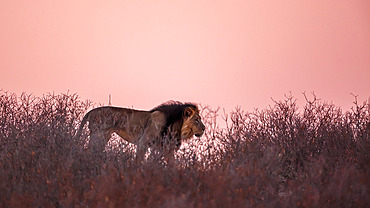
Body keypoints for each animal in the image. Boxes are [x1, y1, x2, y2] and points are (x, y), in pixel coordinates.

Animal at [72, 101, 205, 162]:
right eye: (197, 120)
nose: (204, 129)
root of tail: (91, 111)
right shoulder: (143, 142)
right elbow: (139, 160)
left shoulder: (165, 148)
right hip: (99, 136)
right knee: (88, 151)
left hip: (104, 137)